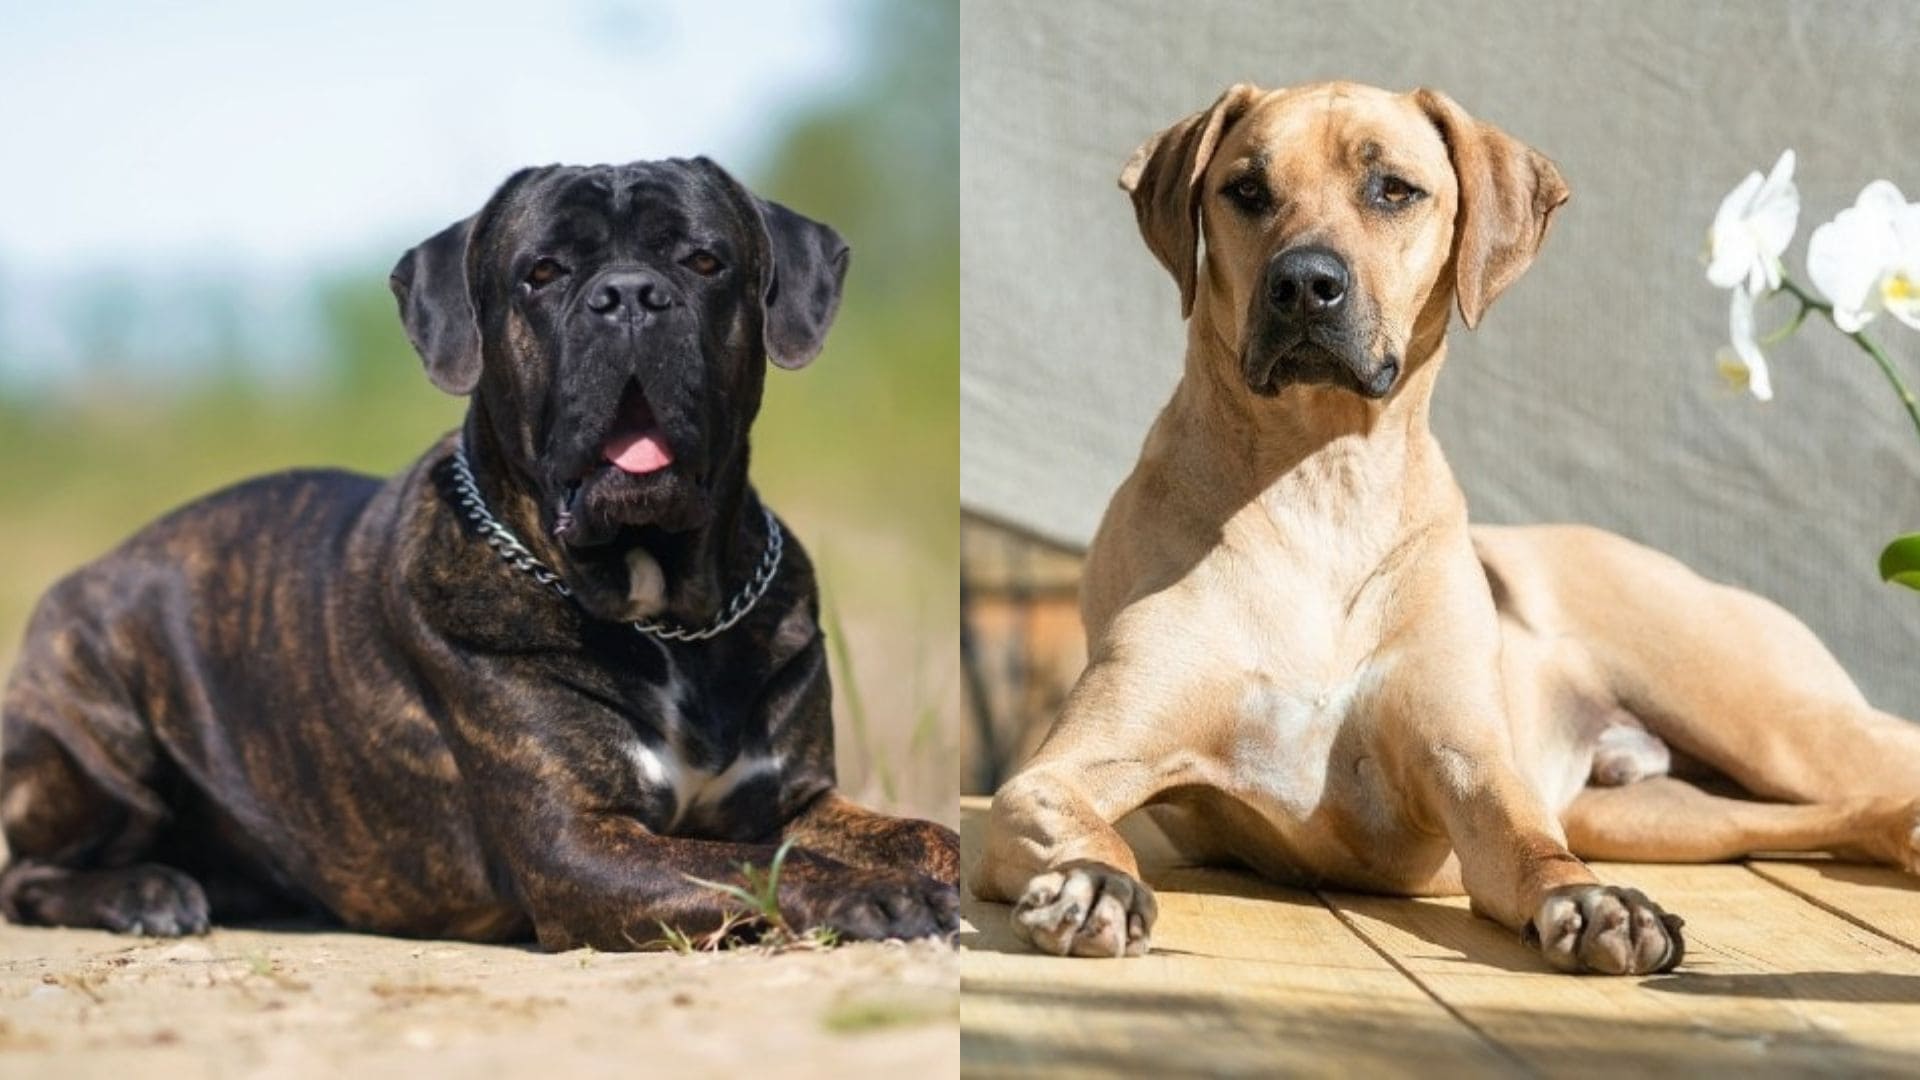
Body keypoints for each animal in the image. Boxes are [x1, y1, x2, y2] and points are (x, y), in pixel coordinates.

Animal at [0, 157, 960, 941]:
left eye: (703, 262)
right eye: (542, 272)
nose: (629, 295)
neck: (661, 612)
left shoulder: (793, 796)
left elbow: (918, 832)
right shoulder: (576, 846)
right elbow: (747, 863)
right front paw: (869, 894)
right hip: (98, 745)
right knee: (28, 875)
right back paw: (146, 893)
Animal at [975, 84, 1920, 972]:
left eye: (1394, 189)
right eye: (1245, 189)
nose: (1305, 283)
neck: (1322, 484)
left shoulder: (1469, 766)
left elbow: (1532, 848)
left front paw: (1599, 904)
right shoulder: (1064, 767)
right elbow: (1068, 812)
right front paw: (1095, 882)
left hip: (1777, 721)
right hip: (1655, 813)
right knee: (1825, 814)